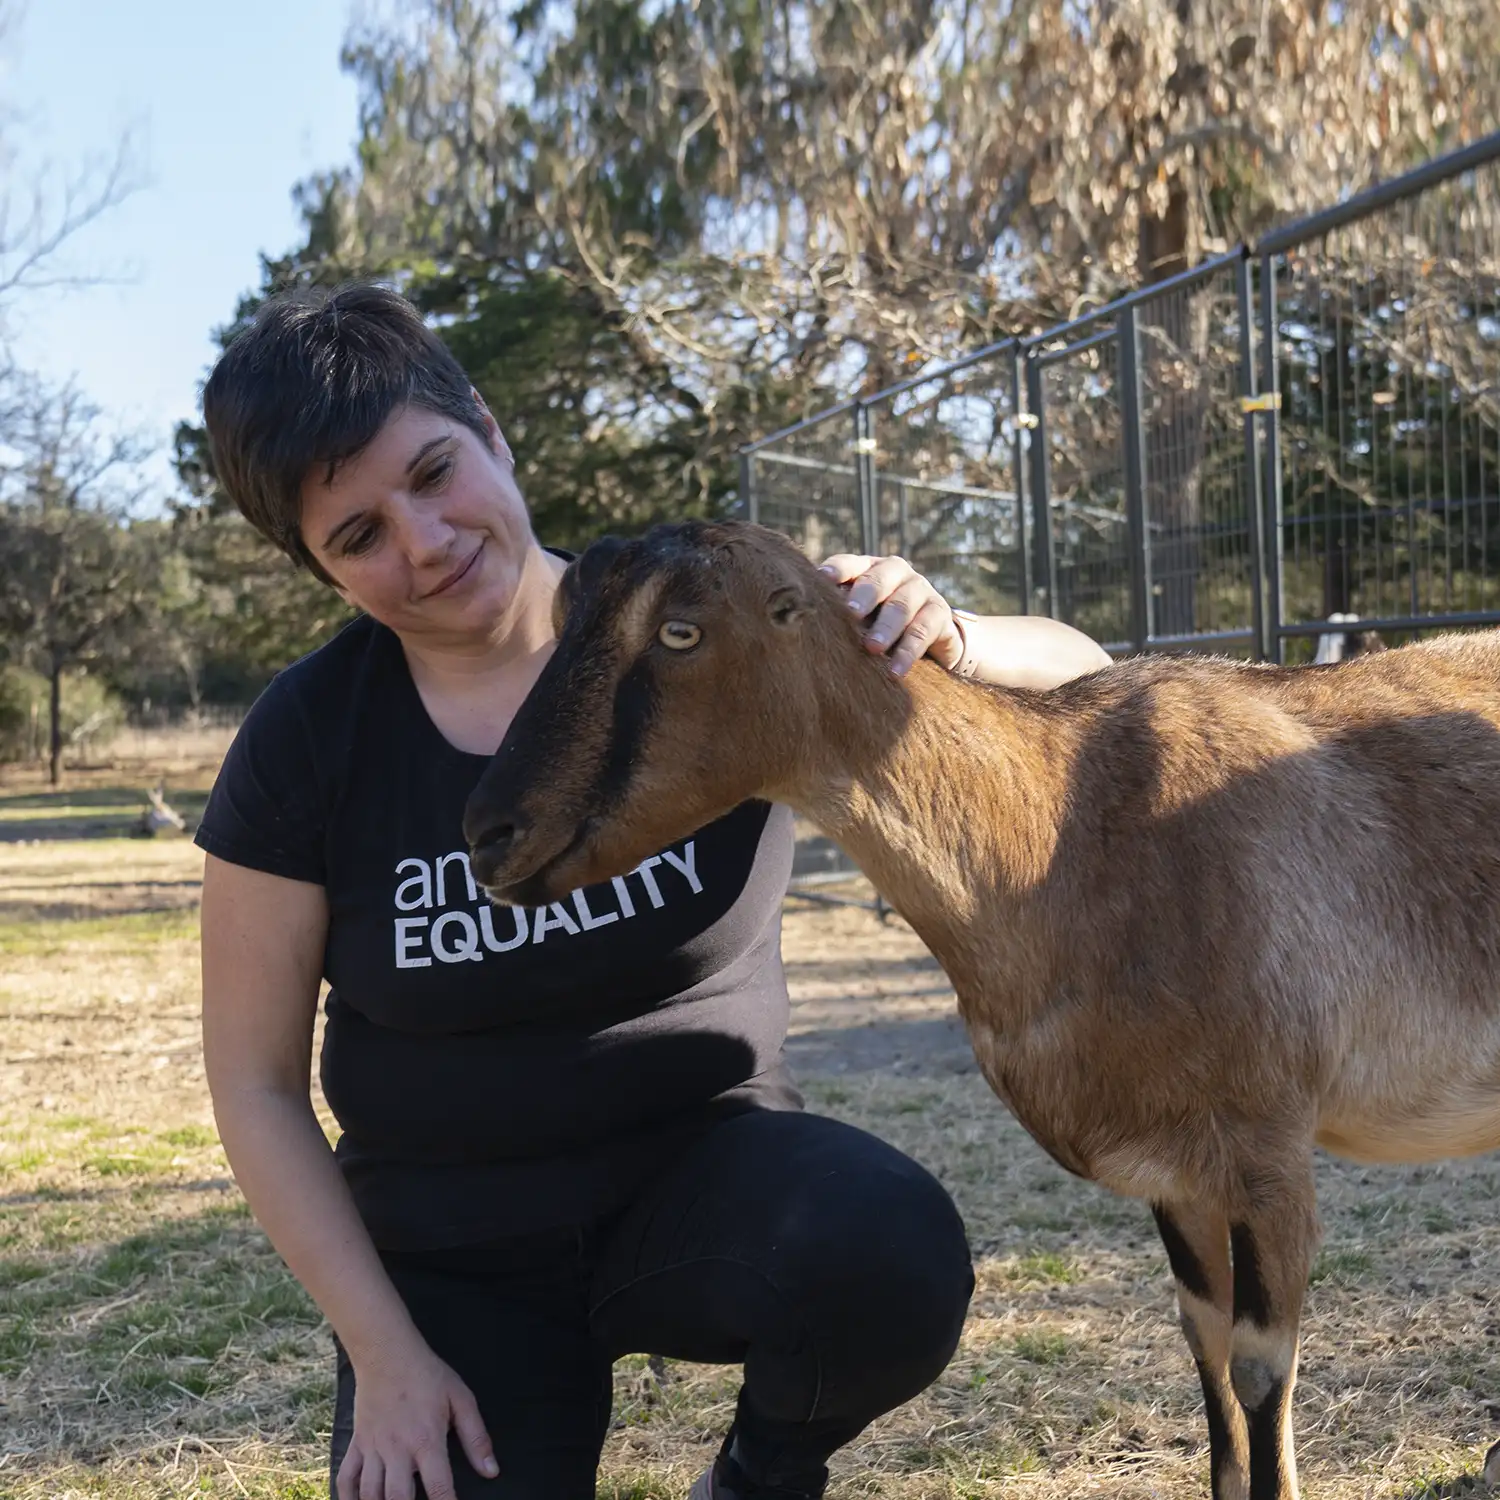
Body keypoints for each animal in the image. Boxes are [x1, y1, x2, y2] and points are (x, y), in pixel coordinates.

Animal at [459, 525, 1500, 1500]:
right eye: (561, 616)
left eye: (680, 630)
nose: (490, 832)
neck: (1064, 828)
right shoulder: (1180, 1175)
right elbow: (1205, 1354)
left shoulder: (1268, 1151)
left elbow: (1255, 1372)